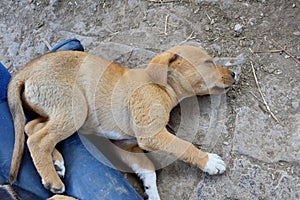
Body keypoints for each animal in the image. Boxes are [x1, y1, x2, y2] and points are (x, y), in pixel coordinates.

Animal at [8, 46, 236, 199]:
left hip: (55, 111)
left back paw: (56, 162)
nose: (234, 73)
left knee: (32, 128)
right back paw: (52, 179)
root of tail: (25, 70)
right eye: (208, 62)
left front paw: (151, 192)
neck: (161, 87)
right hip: (75, 110)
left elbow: (147, 168)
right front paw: (210, 161)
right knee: (38, 140)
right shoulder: (151, 135)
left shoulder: (127, 144)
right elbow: (182, 145)